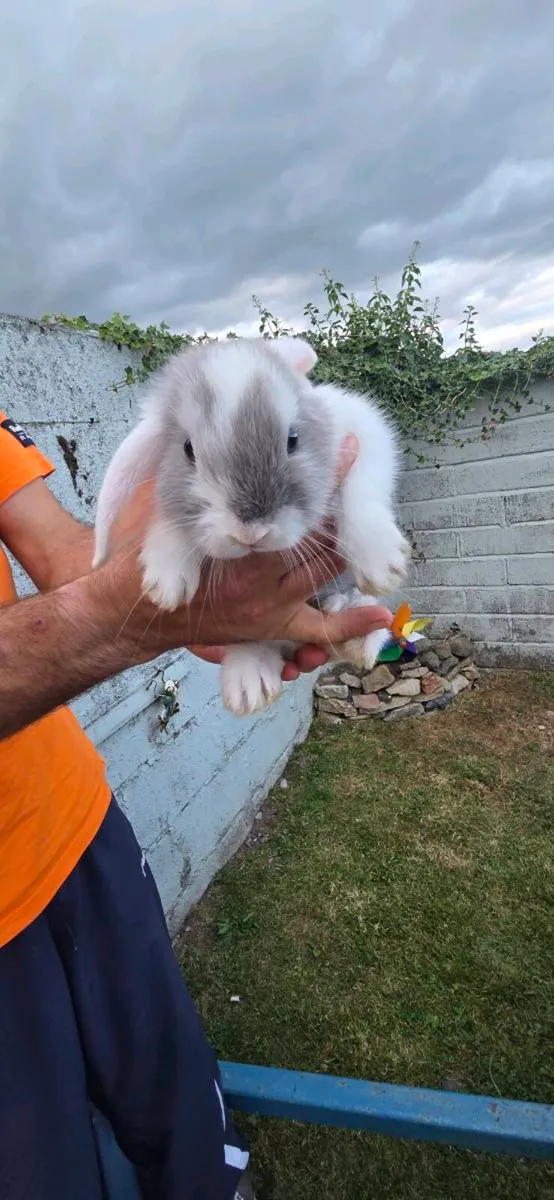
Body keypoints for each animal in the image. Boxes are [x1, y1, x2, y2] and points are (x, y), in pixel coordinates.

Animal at [93, 336, 410, 716]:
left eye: (292, 439)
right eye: (188, 449)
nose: (251, 532)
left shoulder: (363, 431)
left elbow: (362, 490)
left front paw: (380, 562)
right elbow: (169, 519)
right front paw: (166, 583)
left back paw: (356, 629)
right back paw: (250, 684)